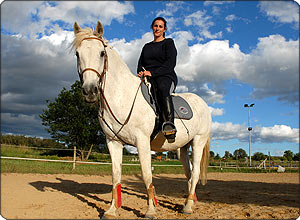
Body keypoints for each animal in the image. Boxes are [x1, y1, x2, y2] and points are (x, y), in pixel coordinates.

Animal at [72, 20, 211, 218]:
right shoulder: (113, 142)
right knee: (189, 173)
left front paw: (150, 210)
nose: (90, 91)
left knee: (197, 171)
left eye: (101, 53)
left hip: (198, 141)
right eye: (78, 53)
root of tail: (203, 103)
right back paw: (190, 201)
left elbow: (146, 175)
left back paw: (188, 207)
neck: (123, 96)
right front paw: (112, 210)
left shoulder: (142, 141)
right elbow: (116, 175)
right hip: (182, 148)